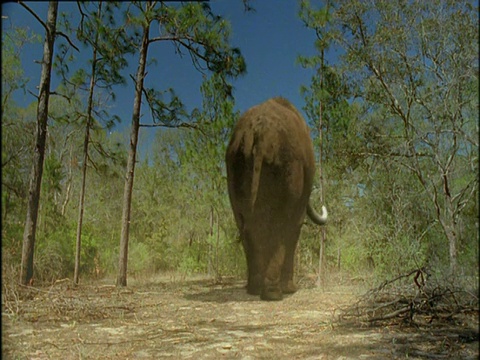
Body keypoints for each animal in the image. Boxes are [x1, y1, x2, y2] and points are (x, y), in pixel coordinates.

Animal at [227, 96, 328, 300]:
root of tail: (258, 133)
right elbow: (295, 226)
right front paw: (291, 289)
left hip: (236, 165)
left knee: (246, 224)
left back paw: (255, 289)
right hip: (287, 168)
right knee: (282, 226)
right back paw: (274, 294)